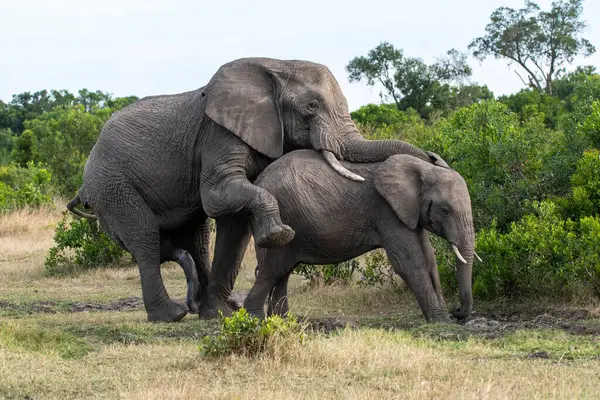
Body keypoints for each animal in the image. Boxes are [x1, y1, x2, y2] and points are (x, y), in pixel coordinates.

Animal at [69, 57, 446, 322]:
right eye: (312, 107)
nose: (435, 157)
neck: (276, 67)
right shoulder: (218, 133)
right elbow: (218, 198)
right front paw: (278, 235)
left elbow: (233, 224)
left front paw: (220, 315)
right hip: (113, 185)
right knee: (146, 236)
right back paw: (170, 315)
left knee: (195, 238)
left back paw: (207, 308)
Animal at [244, 149, 478, 322]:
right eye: (445, 210)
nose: (457, 311)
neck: (423, 170)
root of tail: (258, 181)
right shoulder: (387, 211)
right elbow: (410, 263)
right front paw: (441, 321)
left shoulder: (409, 212)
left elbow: (429, 259)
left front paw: (443, 319)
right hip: (280, 221)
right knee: (272, 270)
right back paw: (256, 321)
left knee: (282, 273)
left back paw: (281, 321)